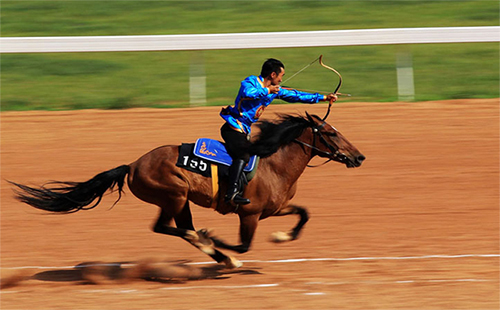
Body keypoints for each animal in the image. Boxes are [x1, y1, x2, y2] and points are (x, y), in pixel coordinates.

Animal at [9, 112, 366, 268]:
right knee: (169, 228)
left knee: (178, 228)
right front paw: (219, 239)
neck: (273, 163)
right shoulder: (249, 213)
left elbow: (304, 214)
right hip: (175, 195)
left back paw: (215, 253)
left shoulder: (273, 210)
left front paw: (281, 236)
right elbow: (243, 245)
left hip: (179, 201)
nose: (359, 156)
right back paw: (214, 248)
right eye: (330, 133)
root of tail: (133, 165)